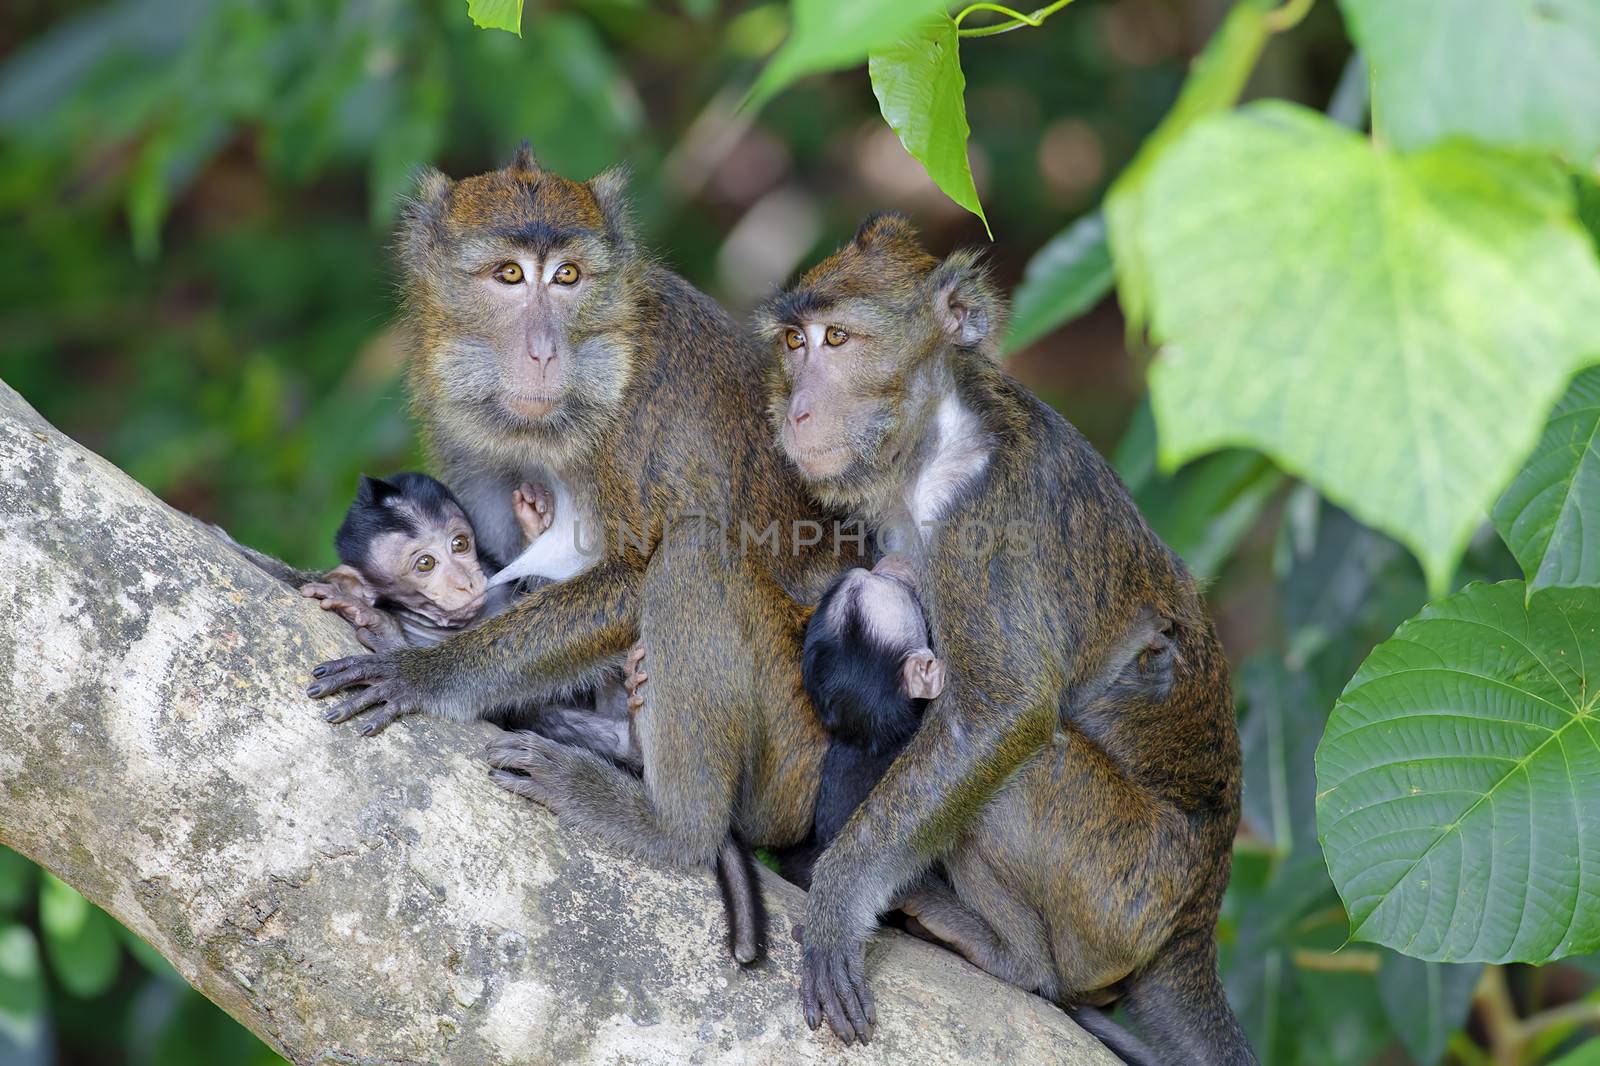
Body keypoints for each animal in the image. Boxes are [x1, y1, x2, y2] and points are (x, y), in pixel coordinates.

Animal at [758, 211, 1248, 1056]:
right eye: (794, 342)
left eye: (838, 340)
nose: (797, 411)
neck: (936, 435)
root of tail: (1197, 917)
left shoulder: (990, 518)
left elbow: (1001, 713)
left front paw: (837, 900)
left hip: (1119, 893)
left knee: (1024, 764)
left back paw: (1017, 961)